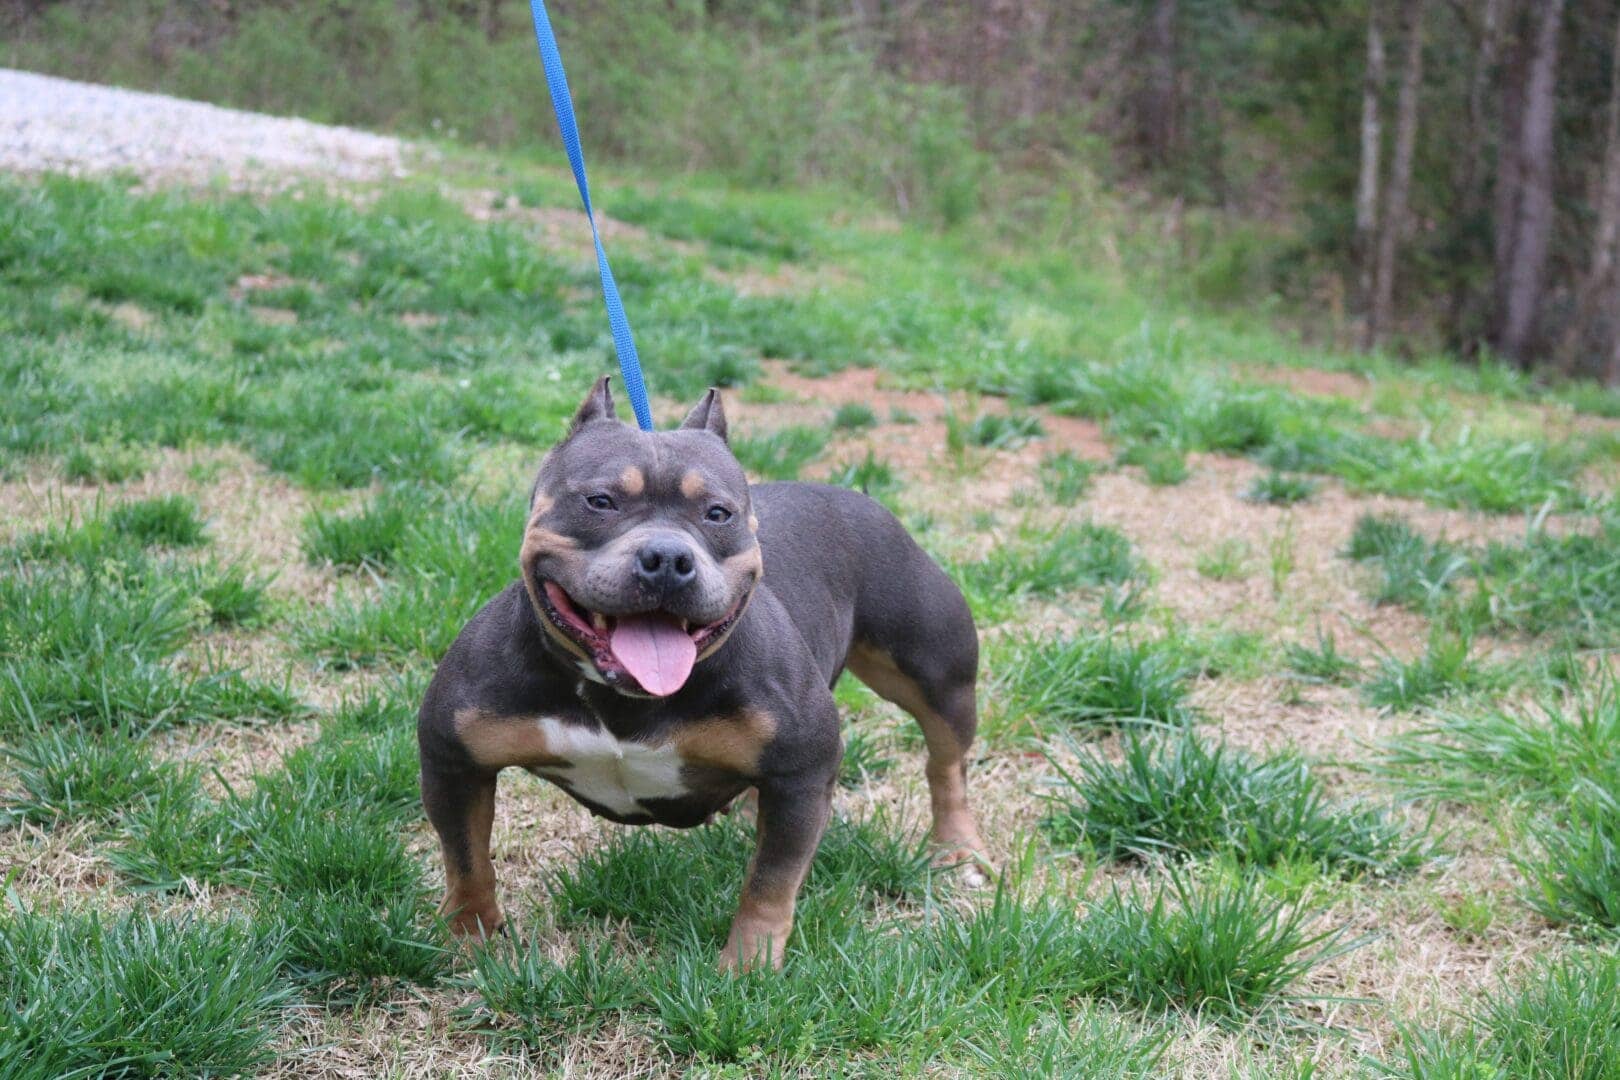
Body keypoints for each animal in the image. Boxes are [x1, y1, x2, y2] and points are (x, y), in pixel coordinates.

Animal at [417, 380, 984, 971]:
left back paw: (957, 847)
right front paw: (471, 943)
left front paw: (748, 968)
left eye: (717, 513)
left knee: (946, 763)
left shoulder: (804, 774)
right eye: (600, 501)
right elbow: (466, 862)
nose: (667, 557)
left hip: (938, 678)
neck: (624, 699)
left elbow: (770, 884)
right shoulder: (454, 761)